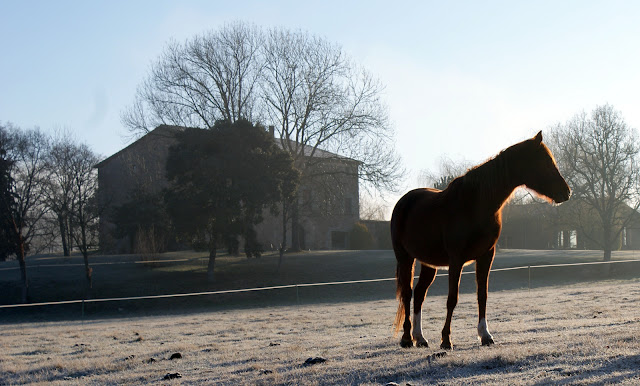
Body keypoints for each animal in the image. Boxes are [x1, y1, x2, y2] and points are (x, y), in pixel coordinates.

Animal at [390, 130, 568, 350]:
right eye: (545, 162)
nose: (566, 192)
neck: (476, 204)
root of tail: (404, 201)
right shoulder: (456, 260)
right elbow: (452, 298)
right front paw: (446, 340)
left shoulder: (486, 256)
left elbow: (482, 295)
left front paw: (485, 335)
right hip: (405, 258)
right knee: (407, 294)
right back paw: (407, 338)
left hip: (428, 263)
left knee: (419, 294)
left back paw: (420, 338)